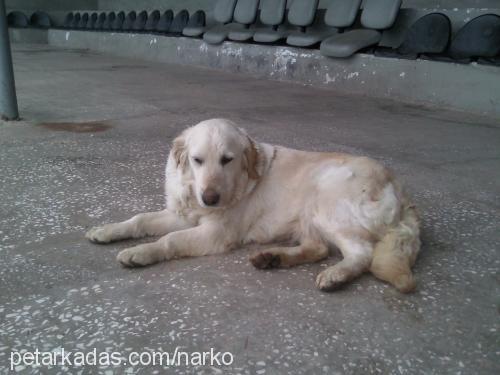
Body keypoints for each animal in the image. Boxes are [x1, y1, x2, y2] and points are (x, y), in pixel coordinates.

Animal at [87, 119, 422, 292]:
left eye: (227, 159)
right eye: (197, 160)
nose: (210, 198)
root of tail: (402, 191)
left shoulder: (216, 233)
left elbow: (169, 240)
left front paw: (139, 252)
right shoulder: (181, 213)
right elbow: (139, 220)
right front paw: (106, 230)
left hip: (326, 199)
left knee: (361, 254)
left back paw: (336, 275)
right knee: (318, 248)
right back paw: (272, 258)